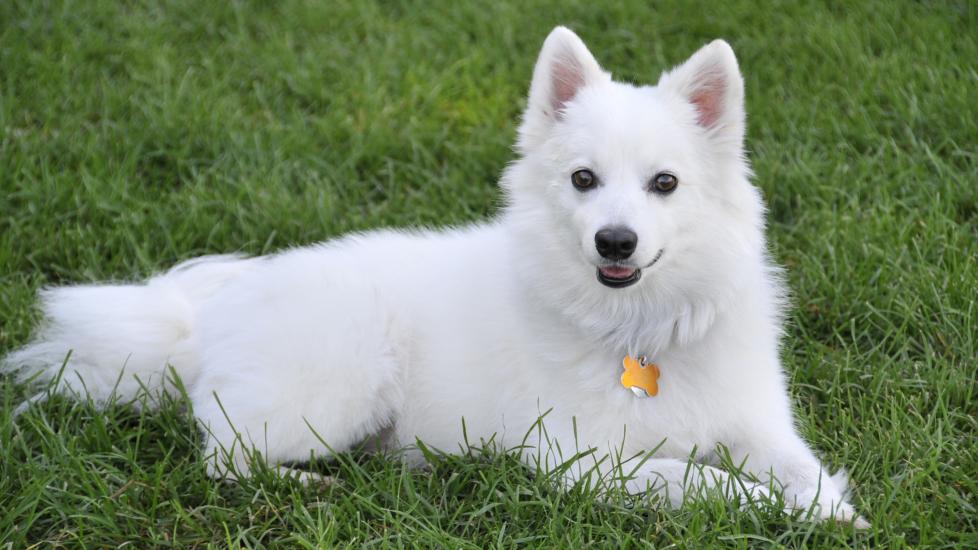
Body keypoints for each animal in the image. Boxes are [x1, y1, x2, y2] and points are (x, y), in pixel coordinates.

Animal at [5, 28, 860, 528]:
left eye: (665, 184)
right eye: (584, 180)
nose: (615, 240)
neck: (639, 328)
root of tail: (202, 324)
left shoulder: (760, 425)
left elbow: (802, 467)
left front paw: (827, 506)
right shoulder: (584, 461)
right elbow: (708, 483)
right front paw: (780, 507)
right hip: (340, 389)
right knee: (224, 457)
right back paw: (308, 486)